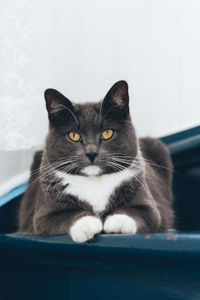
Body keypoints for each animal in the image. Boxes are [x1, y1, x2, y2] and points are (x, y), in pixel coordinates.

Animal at [16, 81, 173, 243]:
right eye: (73, 135)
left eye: (107, 133)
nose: (91, 152)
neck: (95, 180)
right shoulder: (42, 215)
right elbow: (65, 215)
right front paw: (86, 225)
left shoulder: (149, 205)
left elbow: (142, 213)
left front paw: (117, 222)